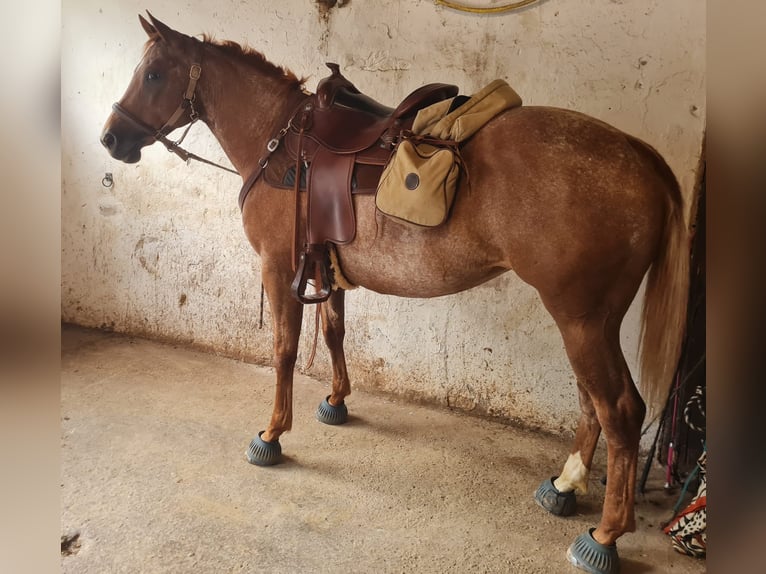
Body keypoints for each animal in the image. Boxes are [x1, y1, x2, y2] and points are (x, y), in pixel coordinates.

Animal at [100, 13, 689, 574]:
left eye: (153, 75)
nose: (110, 139)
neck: (281, 143)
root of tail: (639, 154)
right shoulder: (325, 266)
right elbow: (334, 331)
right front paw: (336, 401)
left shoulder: (278, 267)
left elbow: (284, 351)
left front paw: (272, 434)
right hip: (586, 321)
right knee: (593, 401)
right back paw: (565, 485)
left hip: (582, 320)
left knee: (619, 409)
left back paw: (604, 536)